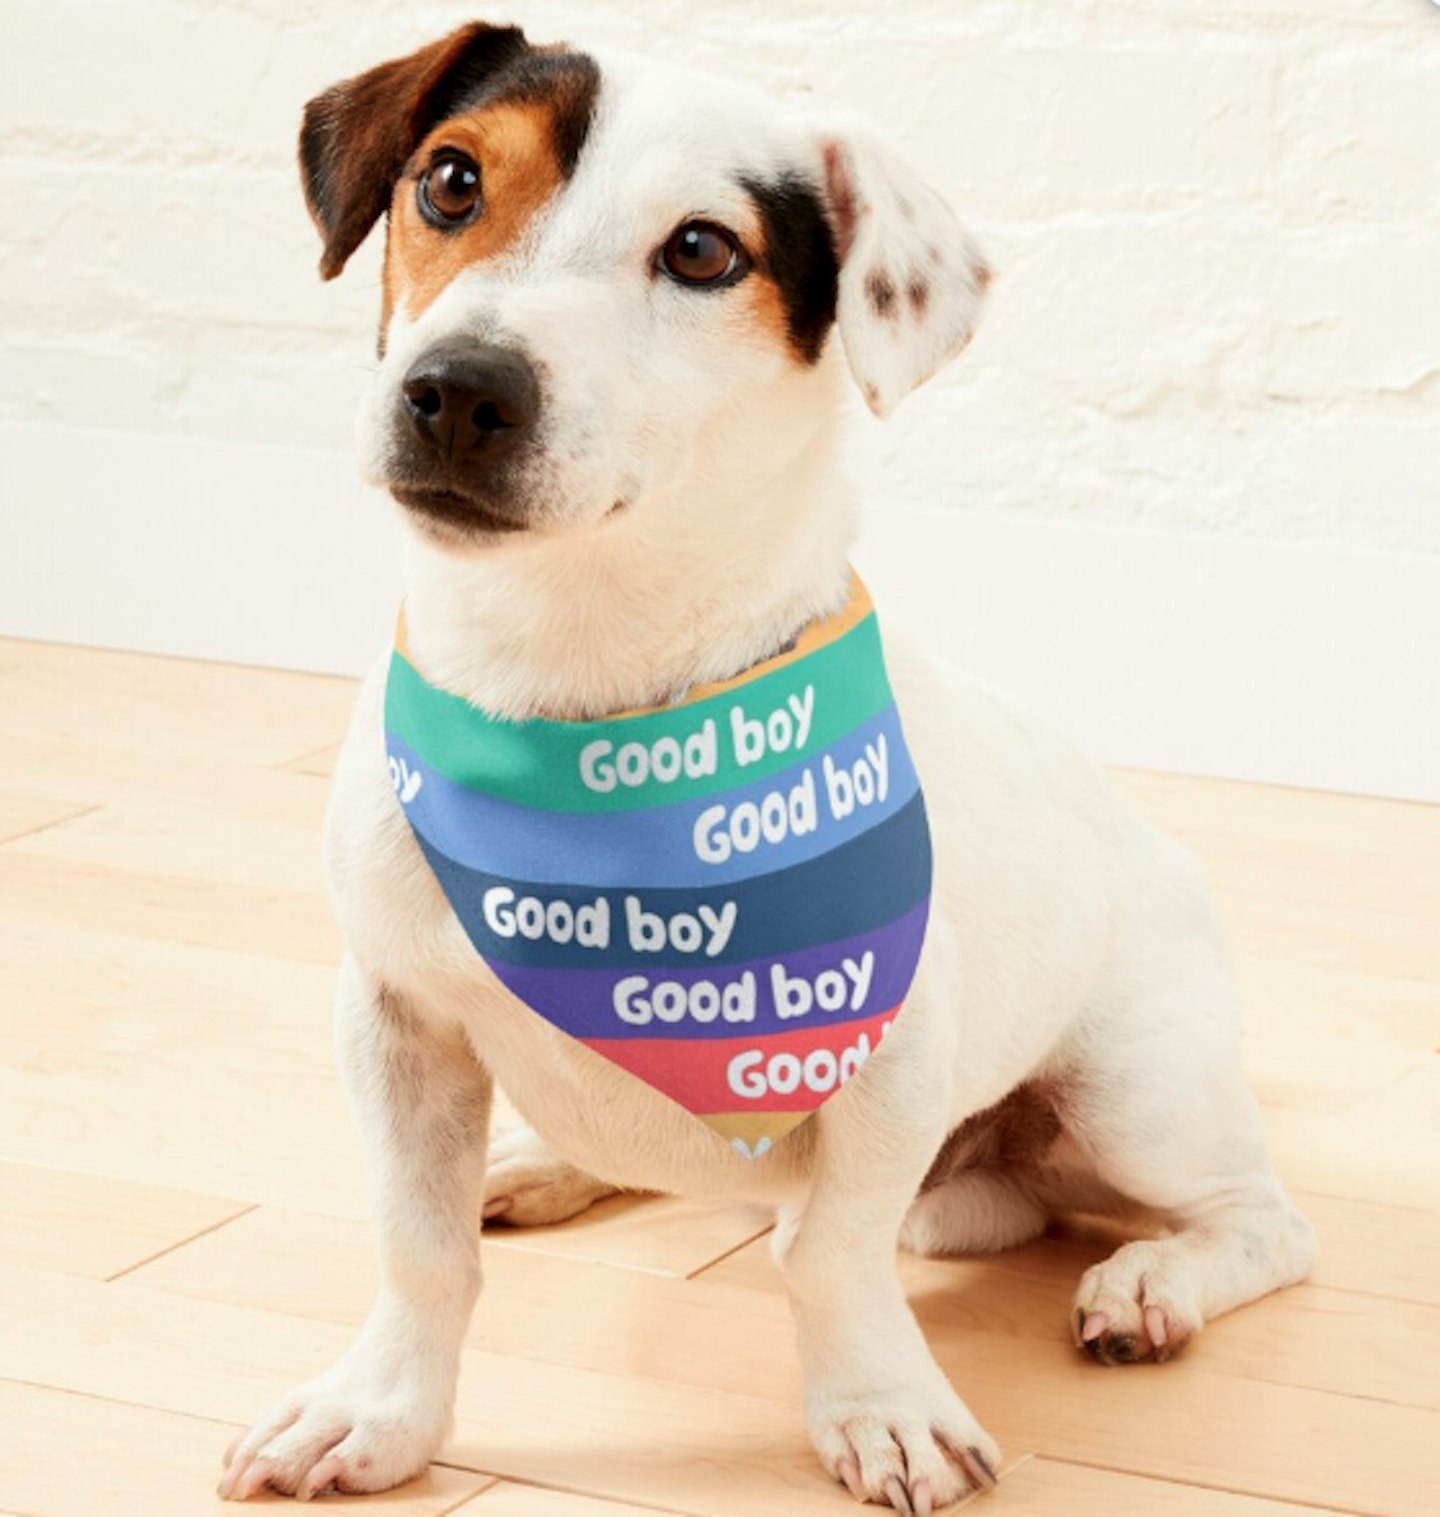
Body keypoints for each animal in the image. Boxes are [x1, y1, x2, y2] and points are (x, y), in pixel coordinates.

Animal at [221, 20, 1317, 1504]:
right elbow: (418, 1243)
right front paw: (380, 1408)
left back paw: (1154, 1283)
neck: (582, 694)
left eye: (702, 251)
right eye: (450, 180)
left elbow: (833, 1256)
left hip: (1135, 1092)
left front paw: (881, 1405)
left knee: (1259, 1219)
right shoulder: (393, 1021)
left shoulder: (890, 1056)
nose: (457, 390)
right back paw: (542, 1159)